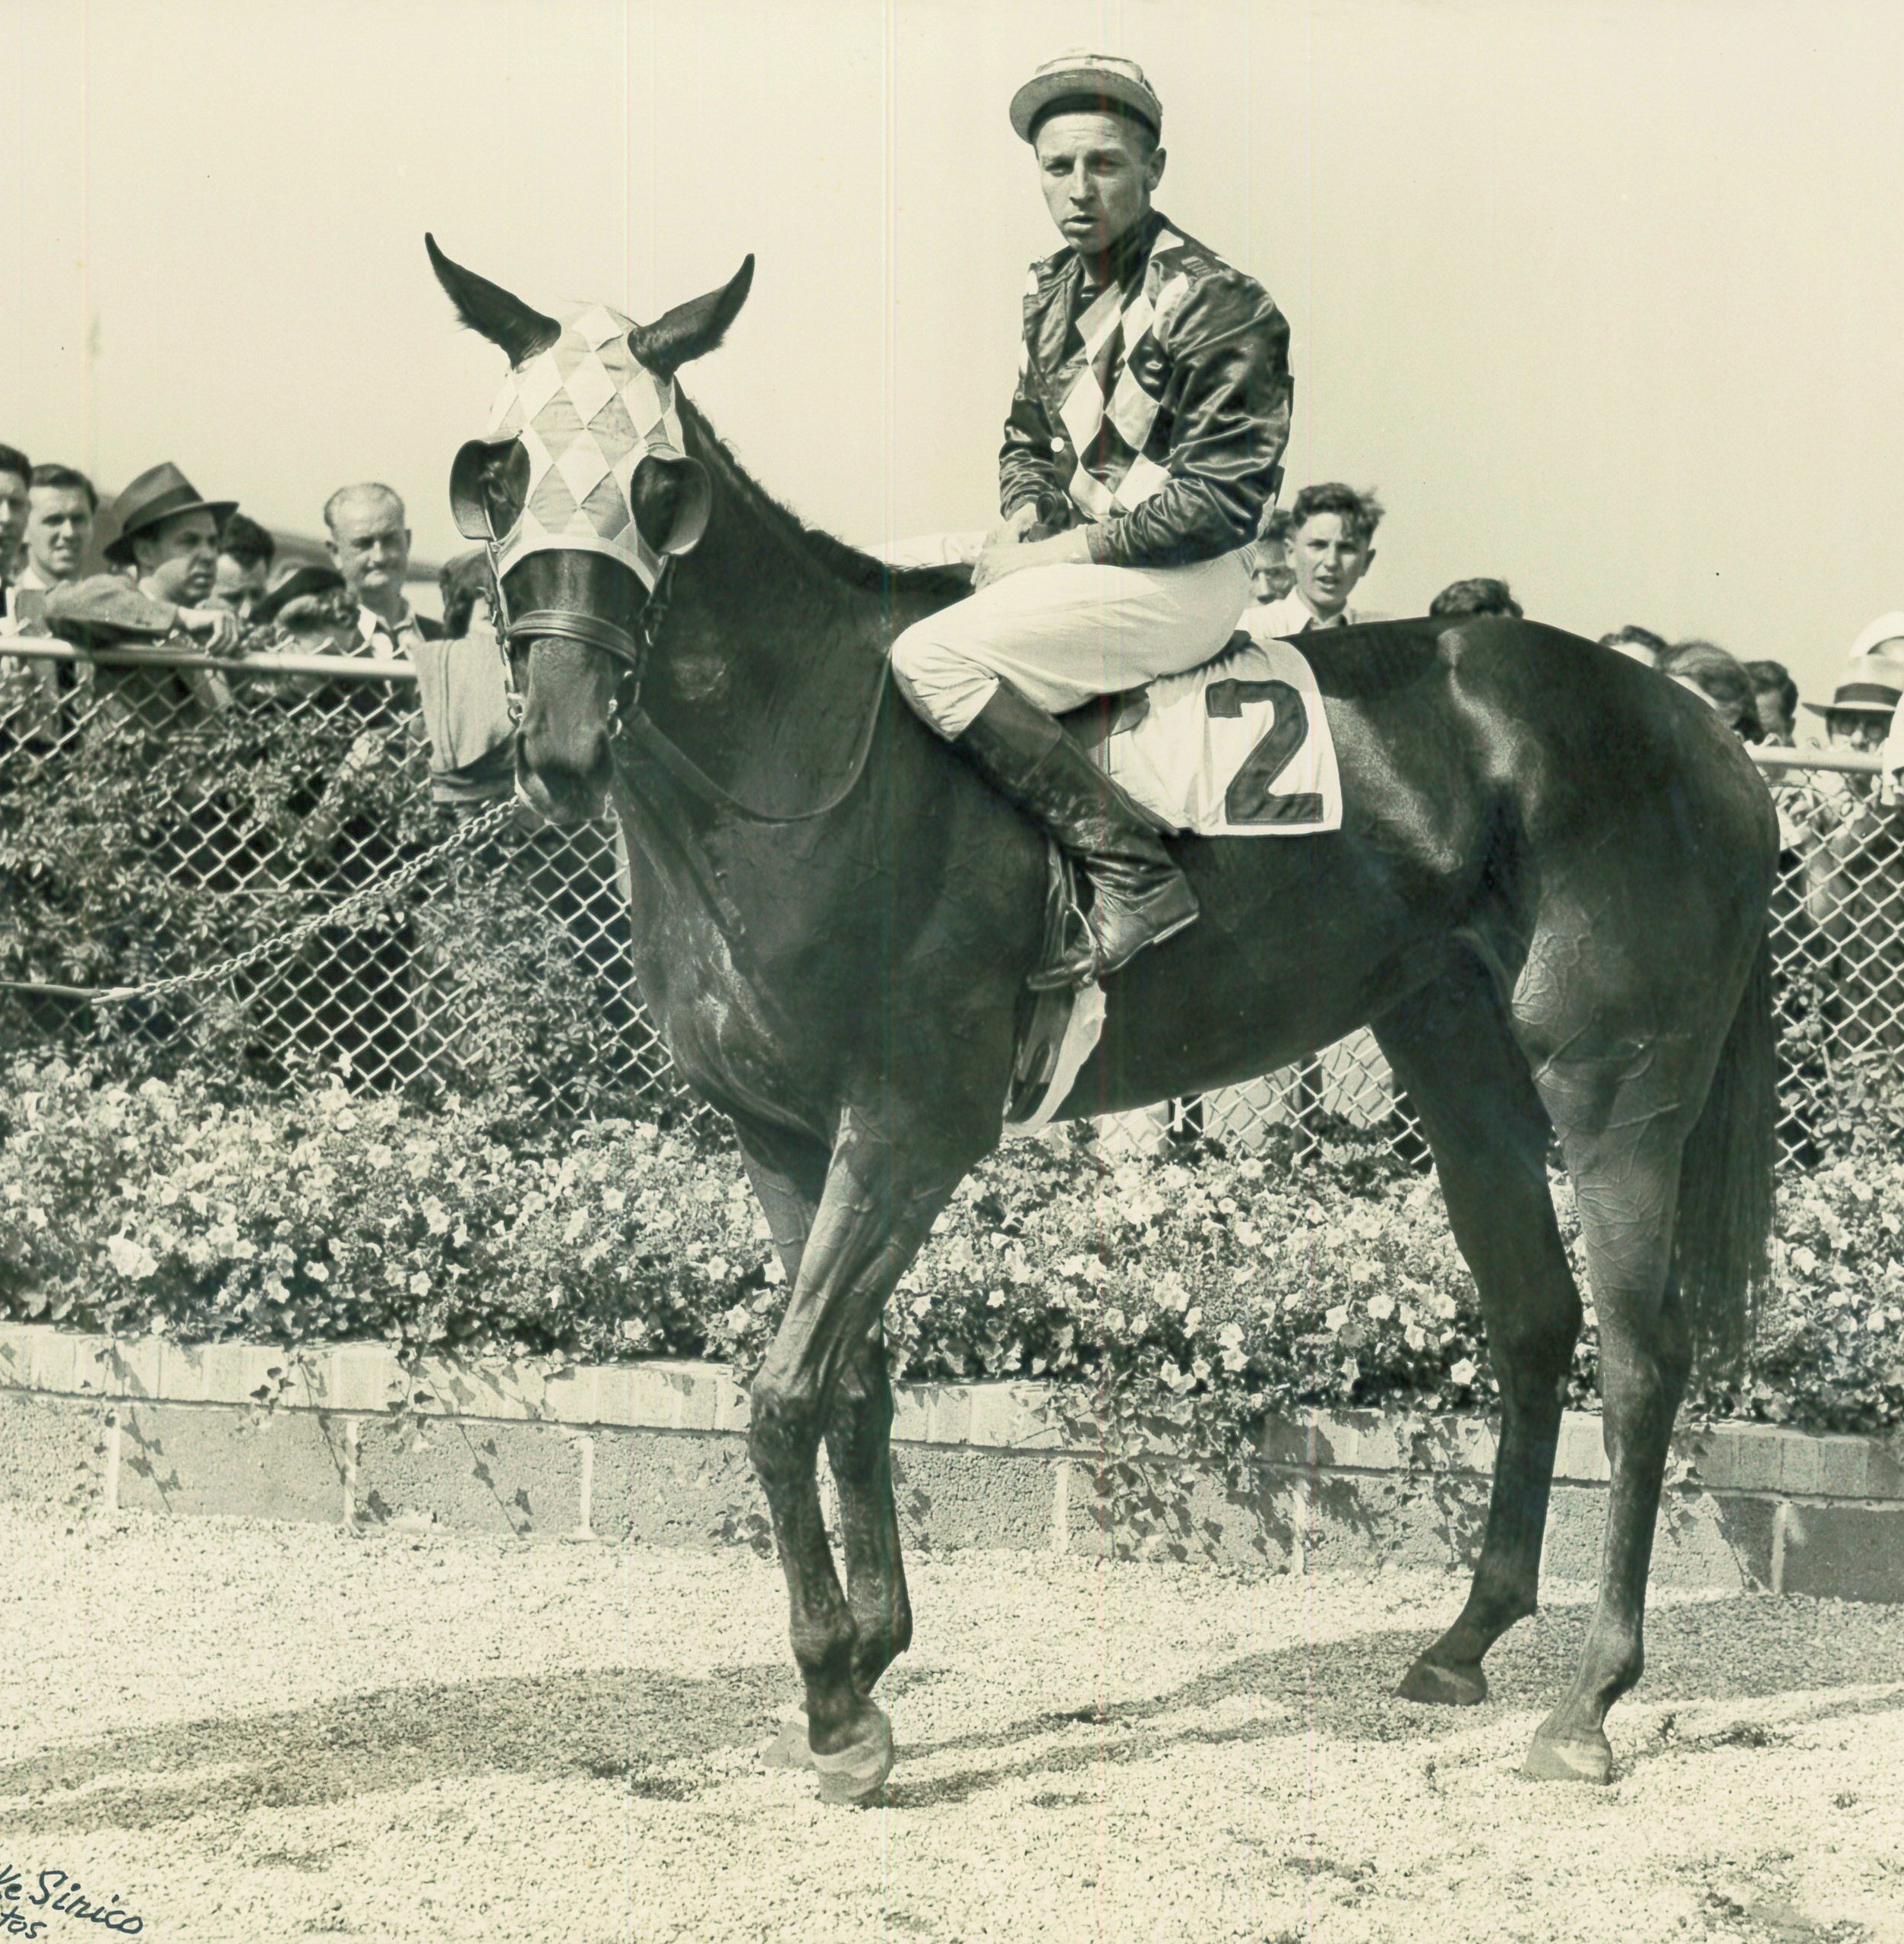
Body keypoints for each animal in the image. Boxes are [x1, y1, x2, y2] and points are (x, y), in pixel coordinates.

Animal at [423, 242, 1779, 1803]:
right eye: (495, 470)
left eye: (660, 482)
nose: (561, 740)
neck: (814, 755)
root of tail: (1700, 726)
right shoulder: (782, 1135)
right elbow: (850, 1384)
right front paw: (868, 1655)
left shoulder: (910, 1127)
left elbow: (780, 1394)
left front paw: (836, 1703)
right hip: (1457, 1060)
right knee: (1534, 1320)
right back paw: (1463, 1640)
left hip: (1615, 1084)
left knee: (1641, 1355)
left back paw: (1589, 1696)